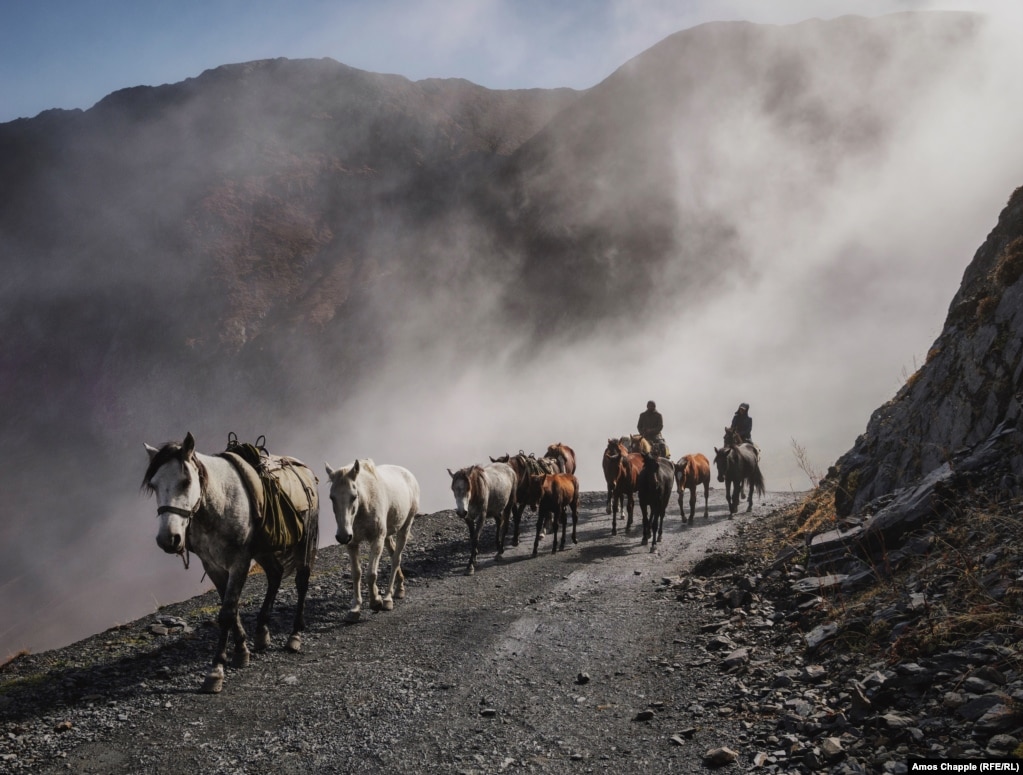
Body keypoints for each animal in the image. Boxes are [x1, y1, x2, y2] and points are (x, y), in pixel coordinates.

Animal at [140, 433, 315, 695]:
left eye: (186, 481)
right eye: (153, 485)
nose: (168, 540)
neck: (219, 504)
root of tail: (303, 468)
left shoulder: (239, 562)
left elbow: (227, 613)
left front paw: (216, 670)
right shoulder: (212, 566)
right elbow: (231, 610)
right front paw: (241, 652)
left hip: (304, 541)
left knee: (301, 581)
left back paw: (294, 636)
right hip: (263, 550)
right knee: (275, 574)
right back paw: (262, 633)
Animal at [319, 462, 415, 625]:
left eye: (354, 496)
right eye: (332, 497)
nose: (342, 536)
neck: (366, 502)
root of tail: (407, 473)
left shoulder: (376, 540)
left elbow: (371, 574)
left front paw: (376, 601)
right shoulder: (352, 544)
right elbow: (356, 574)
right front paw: (355, 609)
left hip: (404, 528)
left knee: (396, 559)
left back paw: (388, 599)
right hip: (387, 534)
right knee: (393, 554)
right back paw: (399, 588)